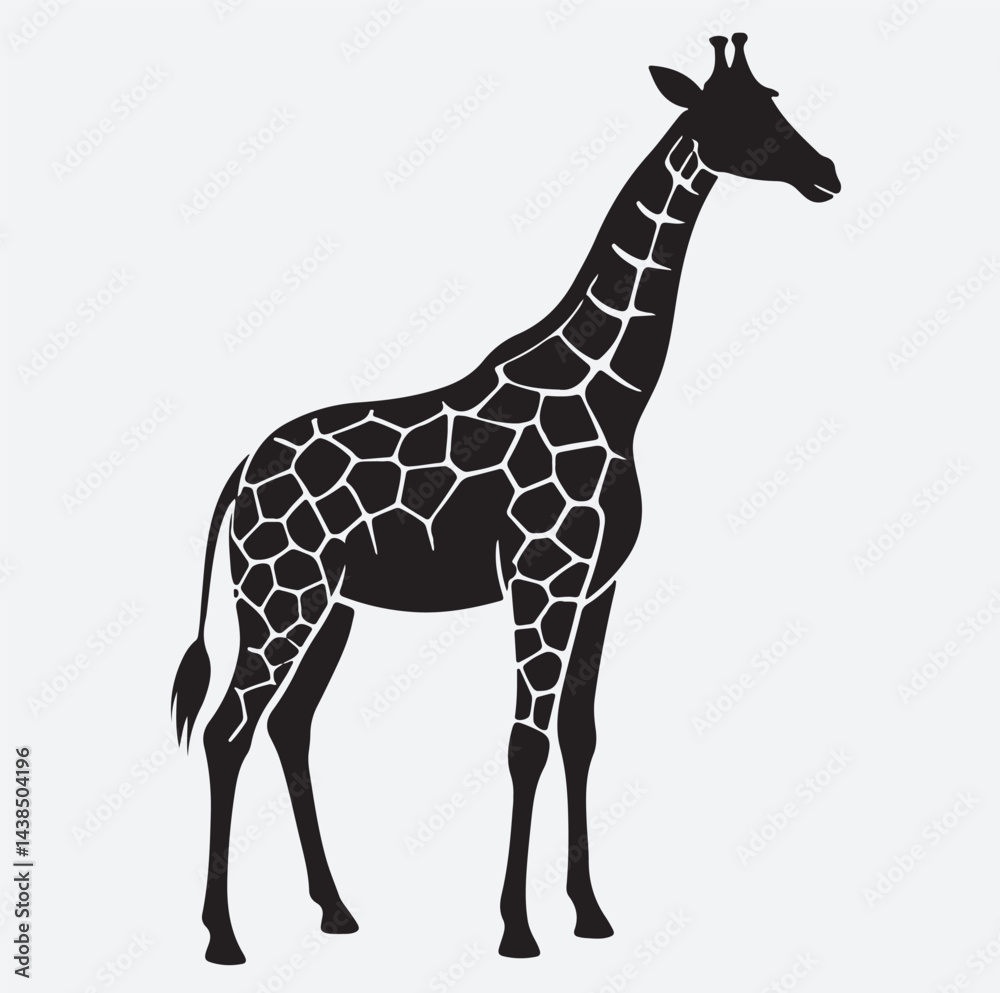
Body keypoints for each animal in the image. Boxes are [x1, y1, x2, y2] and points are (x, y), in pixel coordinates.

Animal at [172, 34, 840, 965]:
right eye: (734, 113)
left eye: (773, 97)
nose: (828, 172)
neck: (613, 394)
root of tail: (238, 472)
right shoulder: (539, 576)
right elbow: (525, 740)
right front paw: (517, 930)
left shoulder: (597, 584)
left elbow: (579, 735)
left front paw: (591, 914)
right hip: (280, 597)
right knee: (228, 728)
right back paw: (224, 937)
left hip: (330, 604)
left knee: (288, 724)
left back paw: (335, 909)